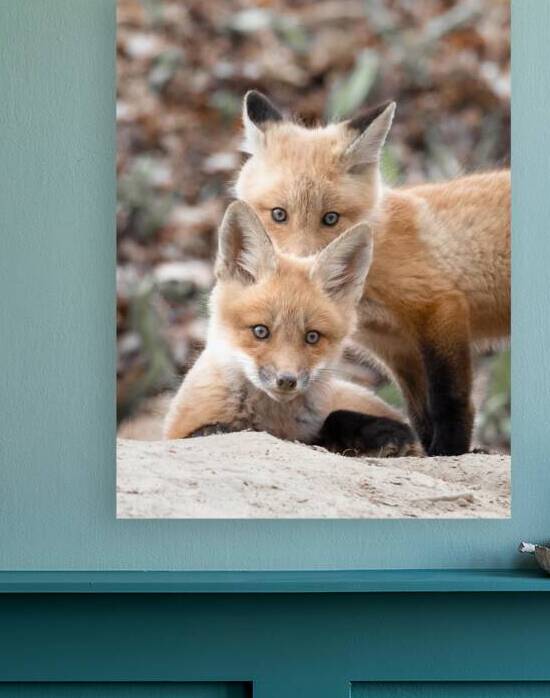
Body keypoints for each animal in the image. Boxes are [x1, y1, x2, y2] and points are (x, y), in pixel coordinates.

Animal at [164, 200, 419, 457]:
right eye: (260, 331)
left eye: (312, 336)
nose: (286, 380)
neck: (273, 420)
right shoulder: (180, 431)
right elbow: (212, 430)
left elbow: (333, 420)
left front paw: (384, 434)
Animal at [234, 90, 511, 456]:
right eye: (279, 214)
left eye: (331, 218)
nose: (300, 270)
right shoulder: (396, 346)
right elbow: (420, 414)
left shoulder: (440, 308)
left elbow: (450, 402)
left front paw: (449, 450)